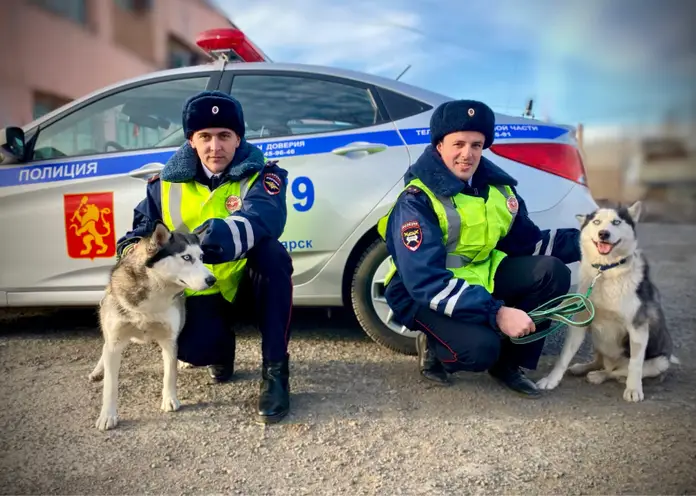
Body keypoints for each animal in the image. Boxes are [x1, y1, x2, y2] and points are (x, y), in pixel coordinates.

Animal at [89, 225, 215, 430]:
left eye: (202, 257)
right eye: (187, 257)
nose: (212, 279)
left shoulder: (169, 339)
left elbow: (170, 373)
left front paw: (169, 399)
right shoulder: (115, 342)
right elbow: (110, 385)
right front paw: (107, 415)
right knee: (104, 348)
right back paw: (98, 370)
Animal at [540, 202, 680, 404]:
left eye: (616, 222)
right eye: (597, 222)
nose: (603, 234)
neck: (605, 271)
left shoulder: (637, 328)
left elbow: (635, 366)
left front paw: (633, 390)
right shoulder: (580, 321)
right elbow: (564, 356)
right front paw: (551, 380)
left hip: (659, 362)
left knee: (616, 372)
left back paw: (599, 376)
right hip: (598, 341)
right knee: (601, 362)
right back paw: (584, 368)